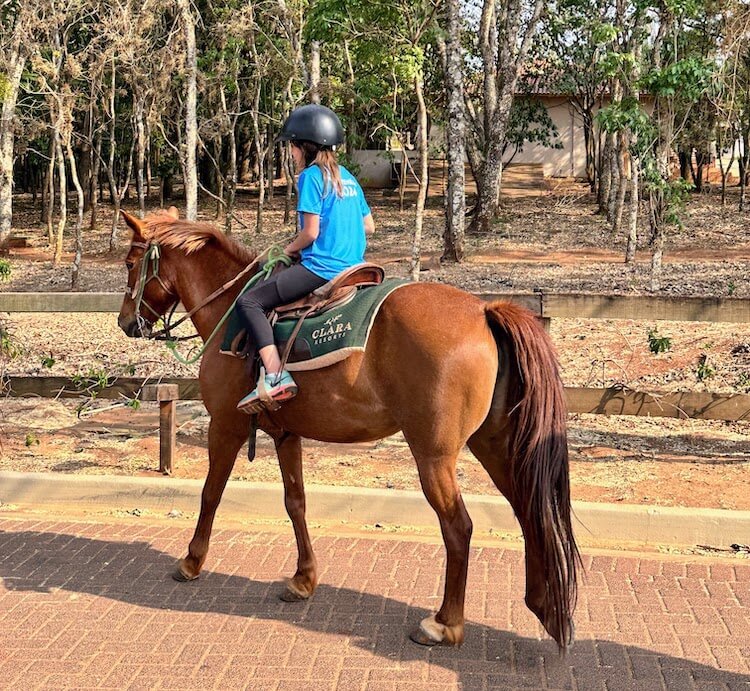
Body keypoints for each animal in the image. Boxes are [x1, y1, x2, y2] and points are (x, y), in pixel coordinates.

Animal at [117, 207, 580, 651]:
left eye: (129, 263)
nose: (125, 322)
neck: (231, 308)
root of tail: (483, 311)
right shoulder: (286, 434)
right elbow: (296, 503)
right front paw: (303, 580)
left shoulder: (225, 426)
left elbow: (210, 494)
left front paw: (191, 561)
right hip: (494, 444)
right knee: (529, 511)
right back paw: (545, 607)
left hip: (434, 455)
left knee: (459, 527)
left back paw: (445, 624)